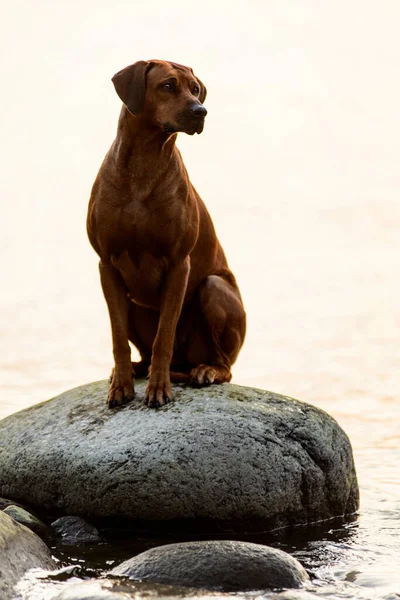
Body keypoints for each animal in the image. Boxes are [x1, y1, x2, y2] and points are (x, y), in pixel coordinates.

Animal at [86, 61, 245, 408]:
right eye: (168, 86)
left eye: (195, 89)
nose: (201, 111)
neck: (144, 163)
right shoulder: (107, 265)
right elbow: (117, 336)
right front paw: (121, 386)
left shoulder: (177, 264)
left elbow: (165, 336)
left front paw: (159, 388)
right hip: (133, 302)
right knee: (142, 351)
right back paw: (135, 369)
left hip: (214, 289)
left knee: (224, 366)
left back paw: (204, 370)